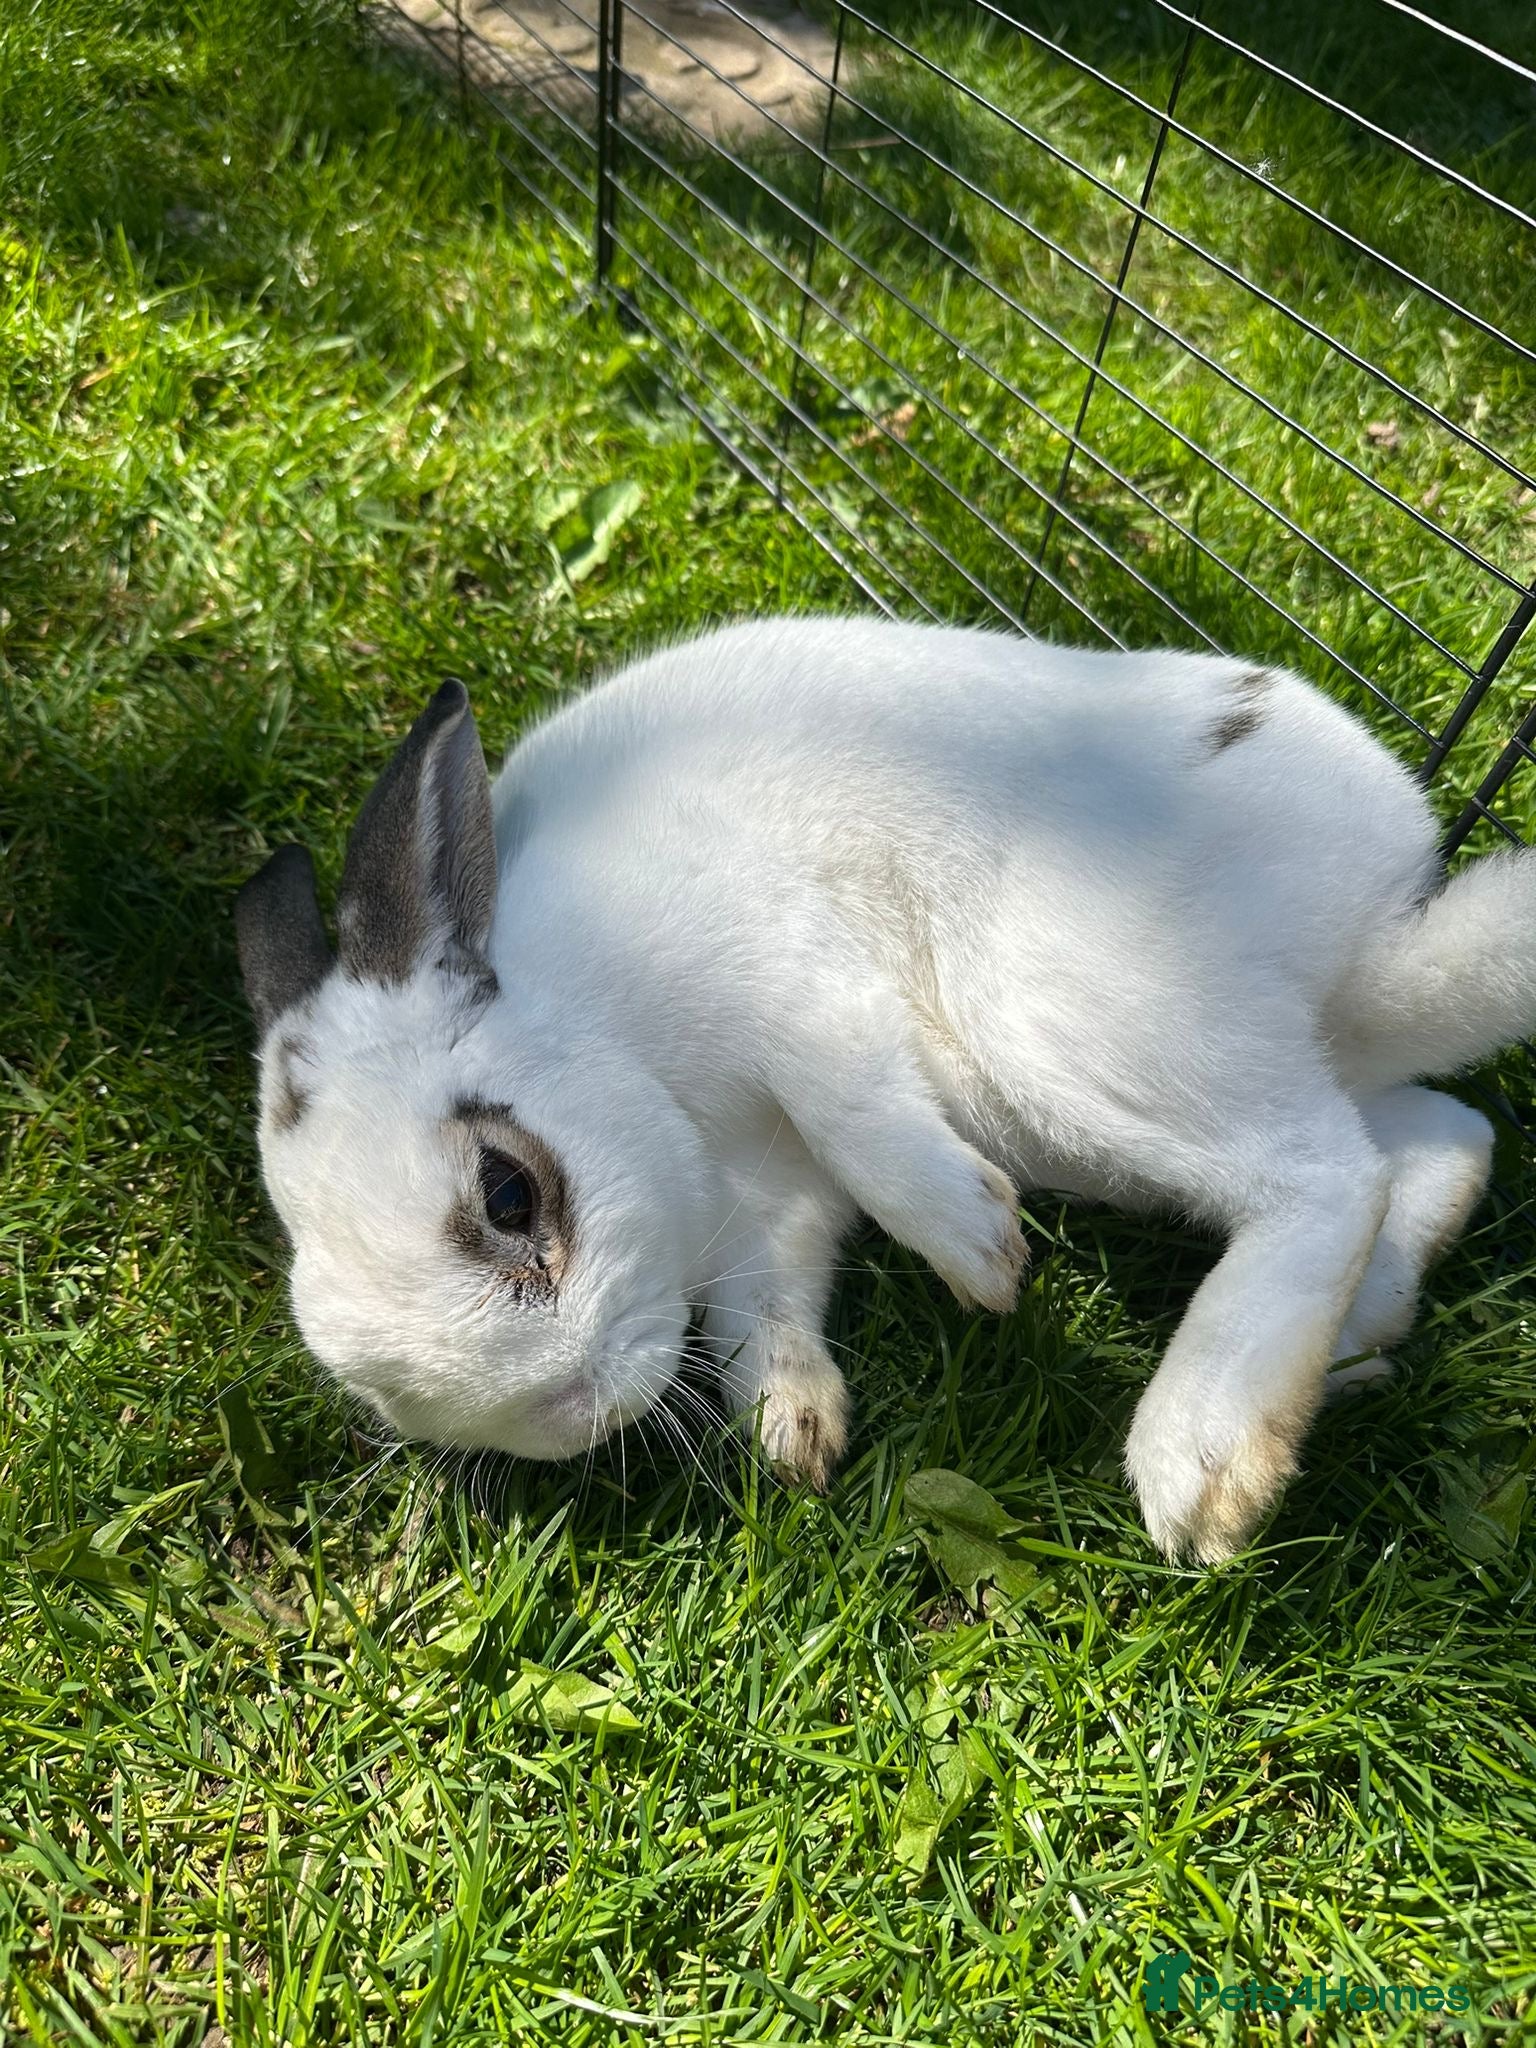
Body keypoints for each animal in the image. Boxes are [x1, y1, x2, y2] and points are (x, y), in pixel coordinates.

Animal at [235, 616, 1536, 1561]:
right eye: (372, 1383)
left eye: (509, 1192)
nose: (574, 1410)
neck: (609, 1020)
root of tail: (1389, 909)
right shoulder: (769, 1199)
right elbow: (771, 1295)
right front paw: (793, 1425)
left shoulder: (789, 973)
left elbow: (854, 1101)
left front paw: (980, 1250)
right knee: (1438, 1133)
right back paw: (1363, 1332)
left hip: (1067, 1018)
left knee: (1326, 1169)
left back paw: (1203, 1459)